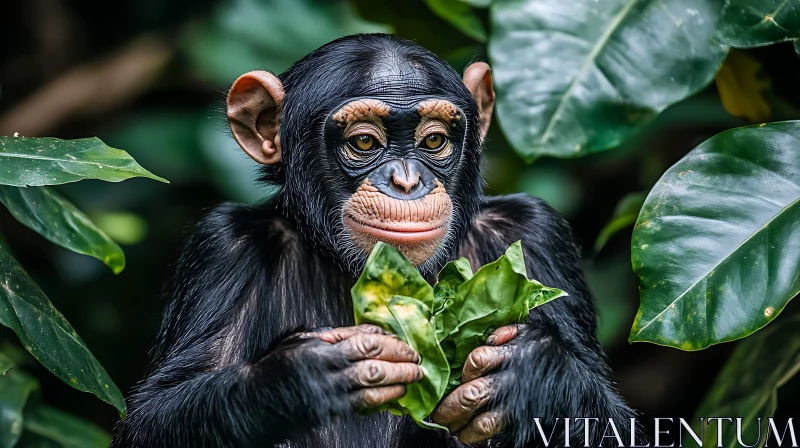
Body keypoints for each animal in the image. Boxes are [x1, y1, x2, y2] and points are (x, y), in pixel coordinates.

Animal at [111, 34, 636, 448]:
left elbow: (619, 424)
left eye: (434, 141)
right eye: (364, 143)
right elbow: (155, 415)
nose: (405, 180)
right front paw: (301, 377)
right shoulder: (222, 248)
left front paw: (532, 373)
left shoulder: (535, 232)